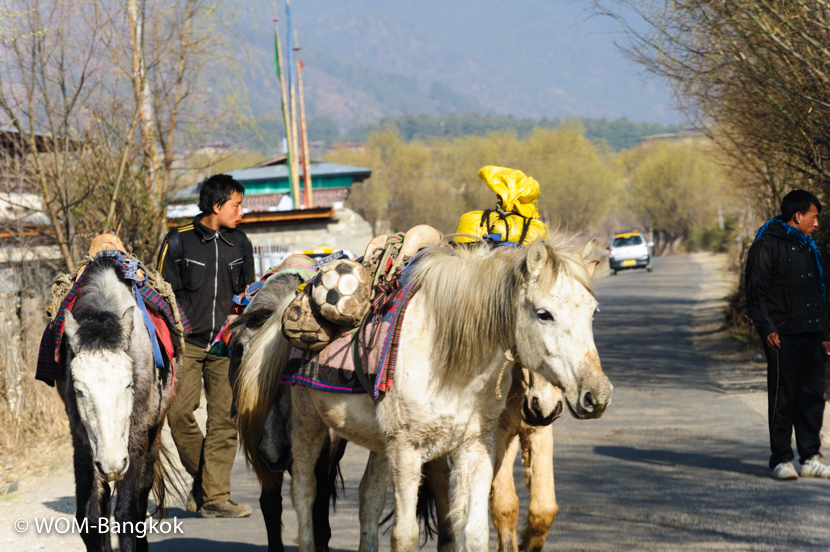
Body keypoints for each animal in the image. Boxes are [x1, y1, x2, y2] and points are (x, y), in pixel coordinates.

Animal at [61, 258, 184, 552]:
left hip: (153, 435)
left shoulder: (136, 439)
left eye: (128, 385)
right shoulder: (82, 443)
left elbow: (128, 514)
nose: (113, 464)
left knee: (140, 498)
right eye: (79, 391)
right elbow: (90, 519)